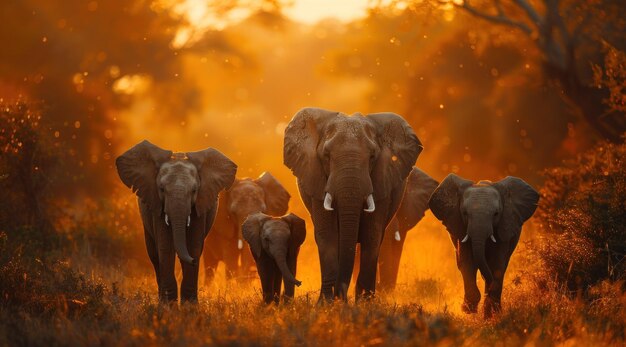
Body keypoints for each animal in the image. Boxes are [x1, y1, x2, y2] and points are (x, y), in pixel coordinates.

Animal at [116, 140, 235, 304]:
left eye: (194, 191)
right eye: (161, 189)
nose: (193, 261)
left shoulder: (200, 205)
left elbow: (193, 246)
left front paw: (189, 306)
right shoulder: (157, 205)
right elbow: (165, 248)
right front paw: (168, 306)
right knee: (154, 255)